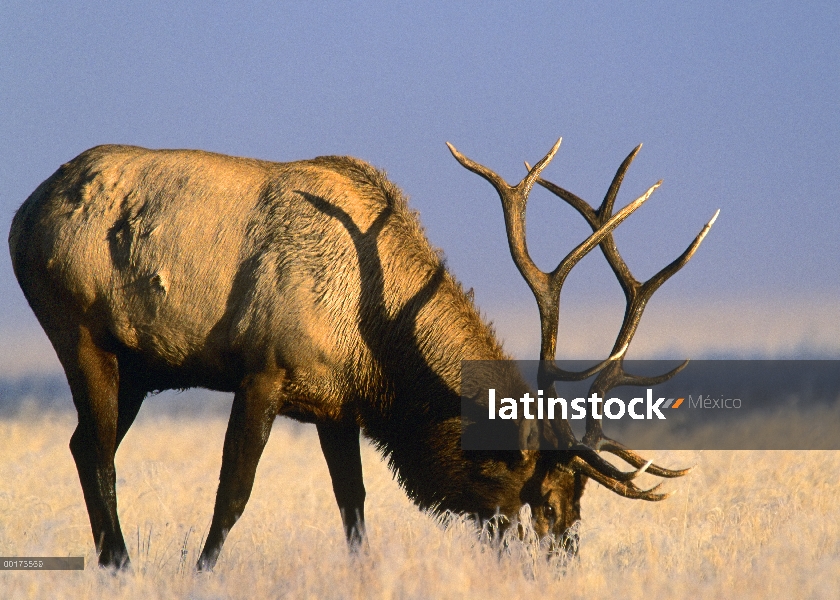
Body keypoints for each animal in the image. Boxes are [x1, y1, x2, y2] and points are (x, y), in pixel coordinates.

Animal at [8, 138, 716, 568]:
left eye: (578, 498)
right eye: (545, 499)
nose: (564, 564)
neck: (375, 349)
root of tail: (22, 214)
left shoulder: (337, 407)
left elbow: (354, 509)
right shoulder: (264, 370)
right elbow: (233, 493)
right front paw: (202, 572)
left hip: (137, 369)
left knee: (85, 445)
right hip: (79, 332)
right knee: (97, 449)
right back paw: (119, 564)